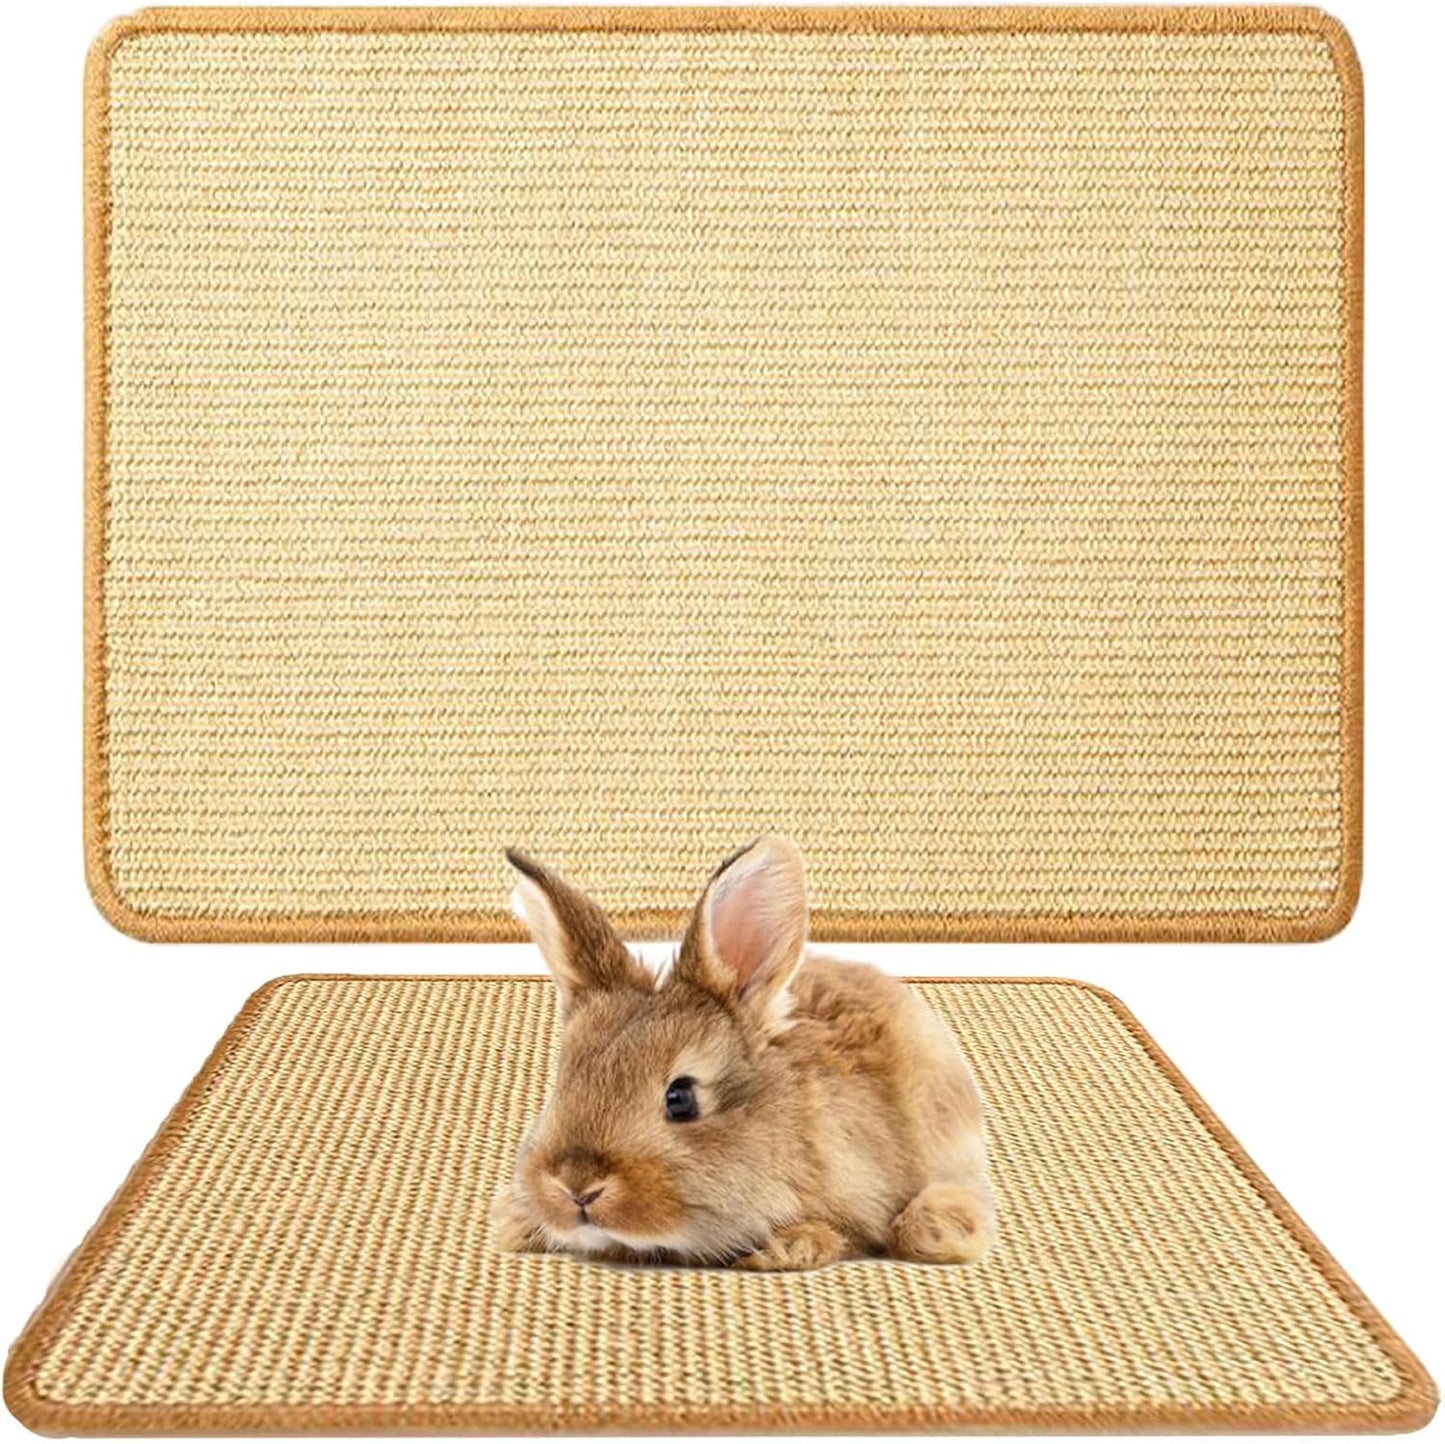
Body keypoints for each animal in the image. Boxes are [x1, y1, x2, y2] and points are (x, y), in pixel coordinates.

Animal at [489, 834, 996, 1271]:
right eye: (561, 1085)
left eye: (681, 1098)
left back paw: (937, 1227)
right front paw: (517, 1222)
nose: (576, 1186)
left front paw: (789, 1246)